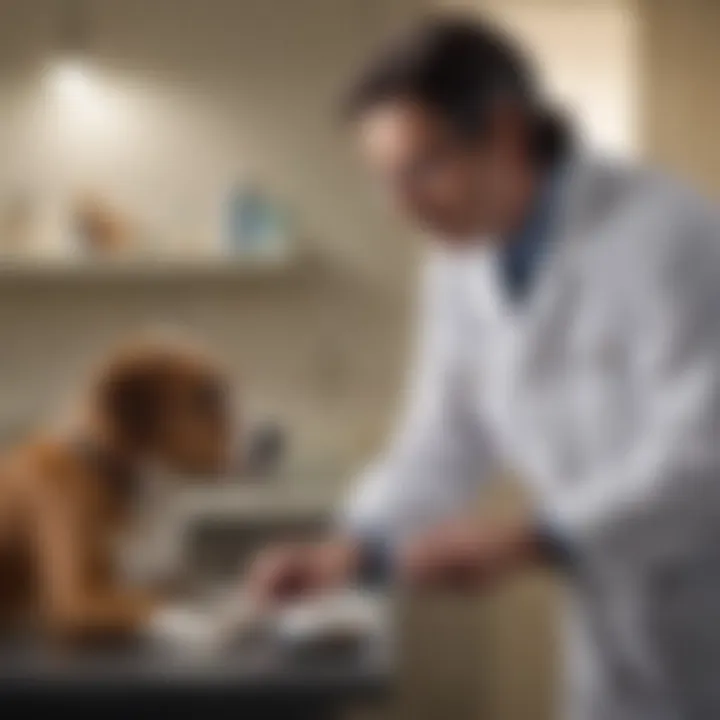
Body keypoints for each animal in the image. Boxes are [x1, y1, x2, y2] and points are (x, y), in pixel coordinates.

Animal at [0, 334, 239, 644]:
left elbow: (207, 583)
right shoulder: (76, 599)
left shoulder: (165, 569)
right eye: (204, 396)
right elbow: (151, 602)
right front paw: (207, 622)